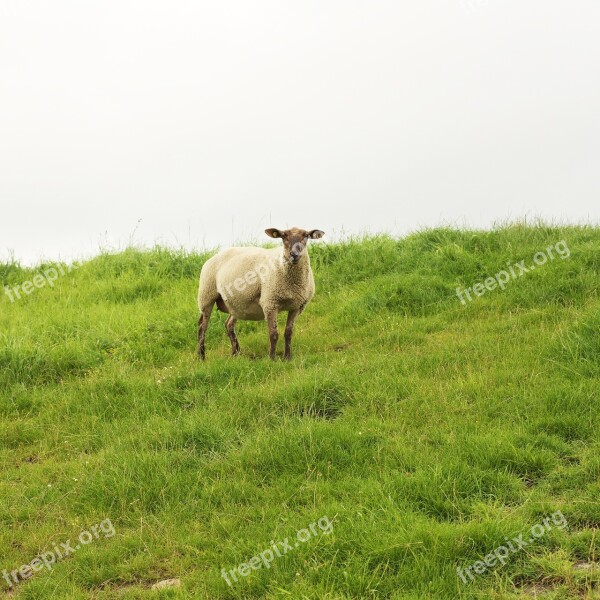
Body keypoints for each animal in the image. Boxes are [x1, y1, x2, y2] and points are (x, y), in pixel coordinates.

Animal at [197, 229, 324, 360]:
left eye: (306, 236)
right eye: (284, 236)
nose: (294, 254)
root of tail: (214, 256)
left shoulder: (297, 307)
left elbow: (288, 333)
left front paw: (287, 357)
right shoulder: (270, 303)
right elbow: (273, 334)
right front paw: (272, 358)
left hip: (236, 304)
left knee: (229, 325)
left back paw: (235, 353)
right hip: (206, 296)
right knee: (202, 327)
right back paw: (201, 356)